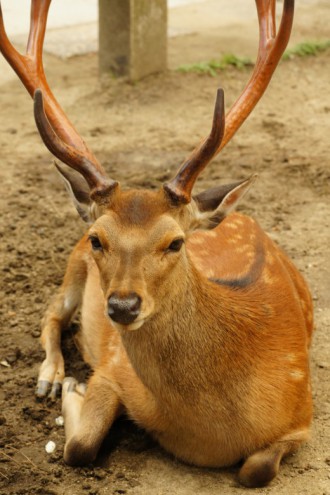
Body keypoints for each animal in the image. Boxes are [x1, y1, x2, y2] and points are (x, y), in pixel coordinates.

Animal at [0, 0, 314, 488]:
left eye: (176, 242)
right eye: (98, 238)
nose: (122, 306)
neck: (210, 434)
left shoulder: (305, 413)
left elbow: (256, 470)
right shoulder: (113, 369)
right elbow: (80, 446)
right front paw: (72, 387)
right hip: (71, 269)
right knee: (51, 314)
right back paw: (51, 376)